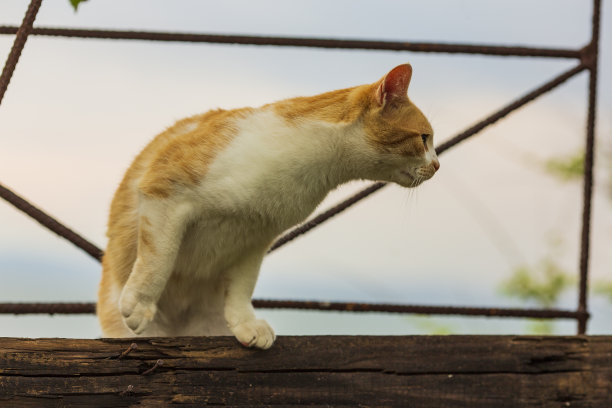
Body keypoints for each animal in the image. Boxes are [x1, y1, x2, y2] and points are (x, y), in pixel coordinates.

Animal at [97, 63, 440, 348]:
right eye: (424, 138)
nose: (437, 165)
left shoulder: (257, 236)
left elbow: (242, 286)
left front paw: (246, 324)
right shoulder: (165, 190)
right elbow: (160, 257)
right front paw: (140, 304)